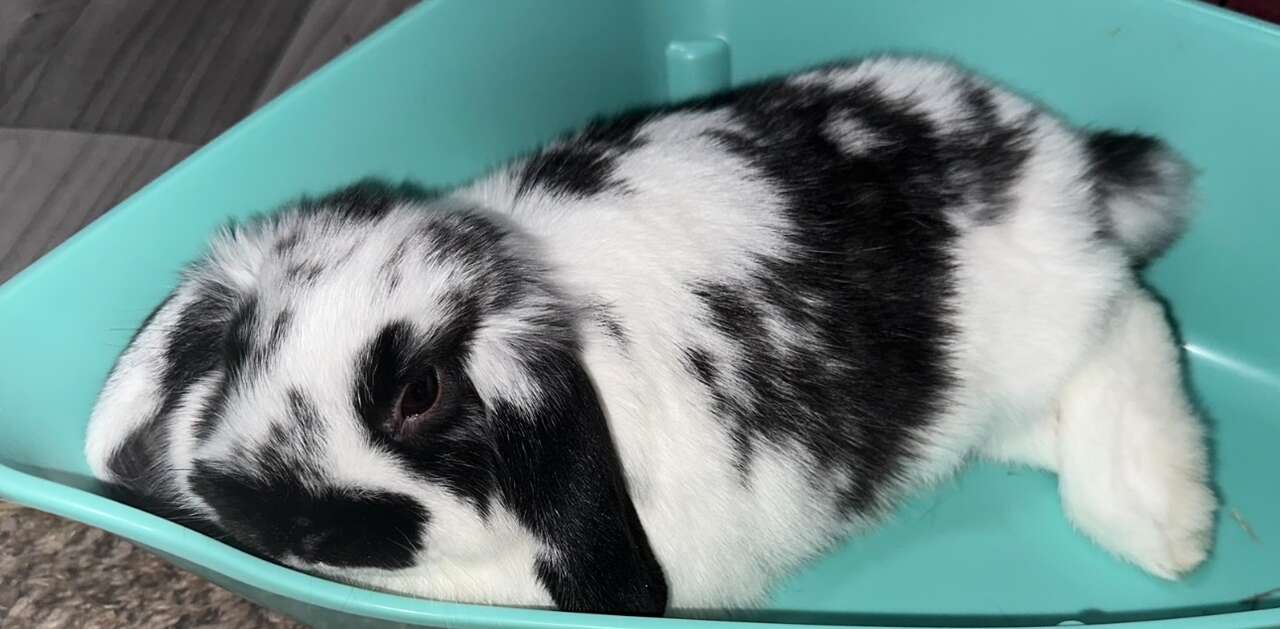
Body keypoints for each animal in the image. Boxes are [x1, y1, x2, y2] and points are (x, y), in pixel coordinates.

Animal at [85, 56, 1213, 617]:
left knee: (1132, 322)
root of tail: (1059, 152)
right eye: (238, 348)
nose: (290, 517)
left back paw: (1169, 527)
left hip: (1047, 326)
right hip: (975, 415)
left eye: (421, 392)